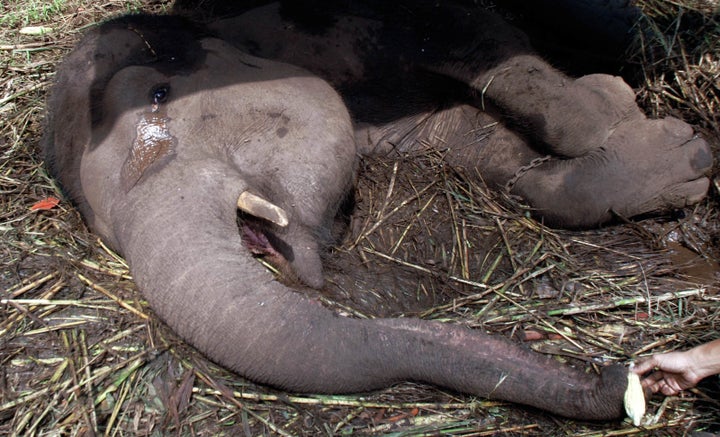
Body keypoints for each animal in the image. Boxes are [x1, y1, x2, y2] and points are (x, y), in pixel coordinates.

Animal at [42, 1, 712, 420]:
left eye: (158, 93)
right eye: (103, 228)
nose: (613, 376)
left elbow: (488, 53)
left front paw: (671, 143)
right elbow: (473, 143)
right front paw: (675, 160)